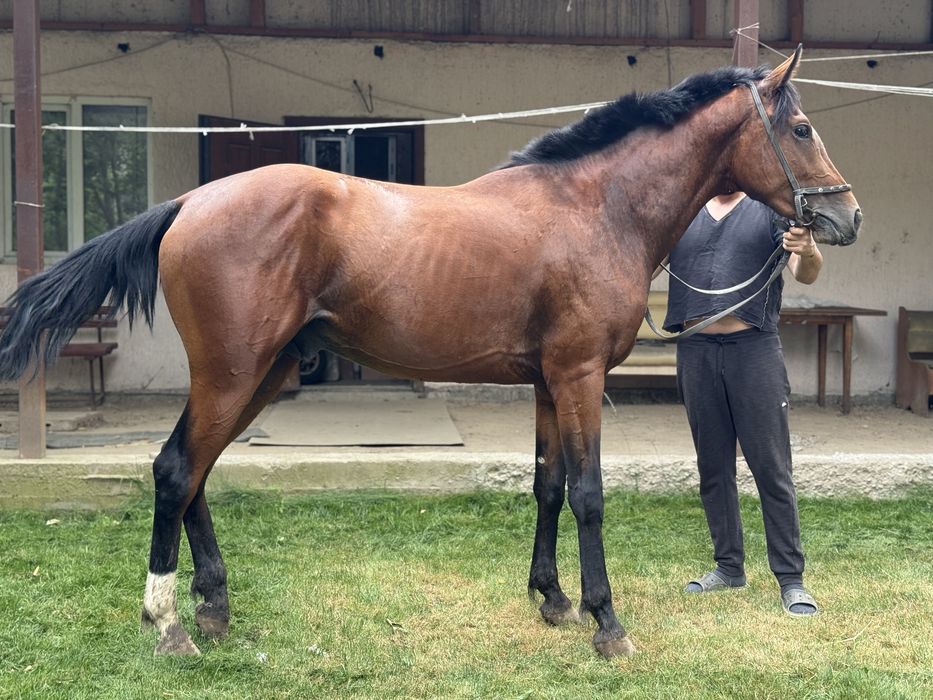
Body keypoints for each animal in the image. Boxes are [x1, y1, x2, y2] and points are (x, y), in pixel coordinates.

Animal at [0, 48, 860, 659]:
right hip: (233, 373)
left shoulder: (548, 382)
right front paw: (605, 622)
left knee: (195, 475)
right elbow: (587, 494)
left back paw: (213, 606)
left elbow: (547, 487)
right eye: (800, 129)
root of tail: (189, 203)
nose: (845, 217)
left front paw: (550, 599)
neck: (593, 207)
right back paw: (169, 623)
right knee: (176, 470)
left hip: (260, 376)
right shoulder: (580, 377)